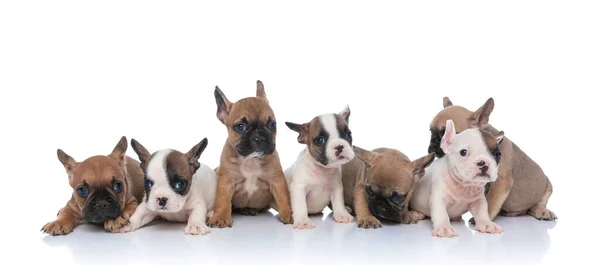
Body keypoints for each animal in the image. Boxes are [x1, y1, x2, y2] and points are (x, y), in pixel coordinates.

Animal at [207, 79, 294, 226]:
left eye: (272, 125)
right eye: (240, 127)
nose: (259, 137)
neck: (250, 160)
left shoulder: (277, 181)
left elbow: (283, 197)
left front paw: (288, 213)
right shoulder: (226, 183)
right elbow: (223, 201)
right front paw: (221, 217)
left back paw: (249, 209)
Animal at [428, 97, 556, 221]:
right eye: (431, 132)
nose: (434, 143)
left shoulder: (501, 182)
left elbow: (490, 201)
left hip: (548, 186)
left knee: (538, 203)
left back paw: (543, 211)